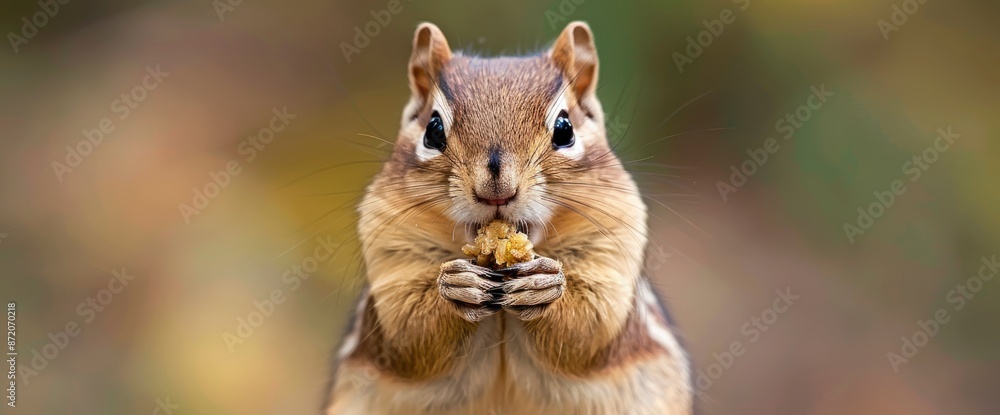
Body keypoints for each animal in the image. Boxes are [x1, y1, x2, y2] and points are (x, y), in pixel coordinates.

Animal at [324, 21, 693, 415]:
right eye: (432, 130)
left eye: (565, 129)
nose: (496, 190)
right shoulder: (391, 253)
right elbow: (409, 331)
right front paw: (457, 285)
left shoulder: (611, 250)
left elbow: (590, 328)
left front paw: (545, 286)